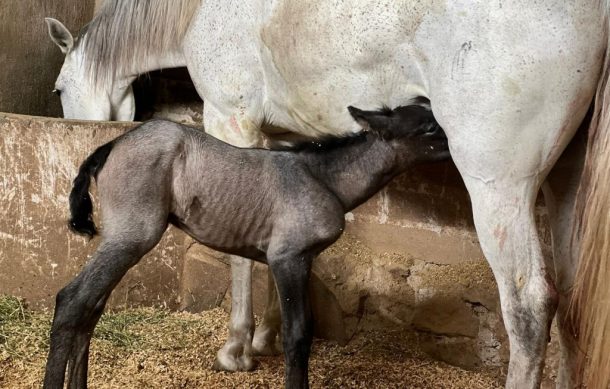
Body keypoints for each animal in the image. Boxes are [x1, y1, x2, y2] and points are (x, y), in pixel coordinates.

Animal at [46, 1, 608, 386]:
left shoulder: (231, 119)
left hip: (499, 186)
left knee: (529, 307)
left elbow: (239, 259)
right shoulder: (280, 143)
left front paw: (236, 349)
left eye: (57, 89)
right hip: (565, 186)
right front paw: (266, 339)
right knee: (572, 306)